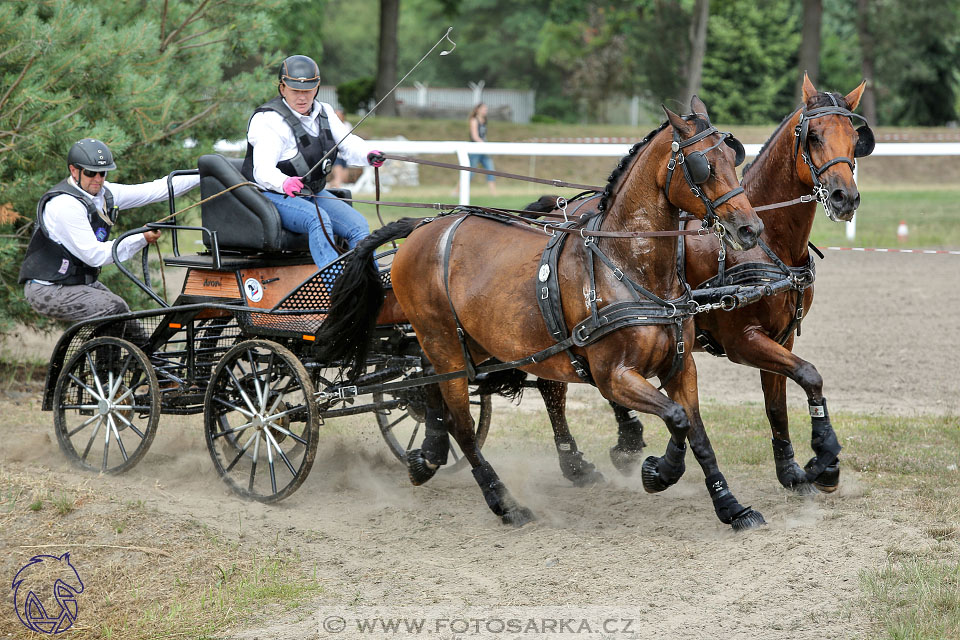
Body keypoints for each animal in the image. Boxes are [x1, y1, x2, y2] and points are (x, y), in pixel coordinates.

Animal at [318, 100, 768, 528]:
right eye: (703, 166)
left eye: (732, 158)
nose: (750, 229)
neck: (627, 264)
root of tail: (423, 226)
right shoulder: (615, 376)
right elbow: (676, 419)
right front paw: (659, 472)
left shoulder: (680, 366)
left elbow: (697, 431)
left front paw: (731, 507)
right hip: (443, 340)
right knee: (462, 425)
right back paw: (503, 502)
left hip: (467, 344)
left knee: (427, 385)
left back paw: (427, 457)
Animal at [536, 76, 872, 496]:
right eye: (813, 136)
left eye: (854, 138)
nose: (845, 198)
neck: (769, 244)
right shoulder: (743, 340)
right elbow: (810, 374)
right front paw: (825, 457)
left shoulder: (781, 338)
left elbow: (778, 404)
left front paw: (792, 470)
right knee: (553, 387)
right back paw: (576, 462)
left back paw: (624, 440)